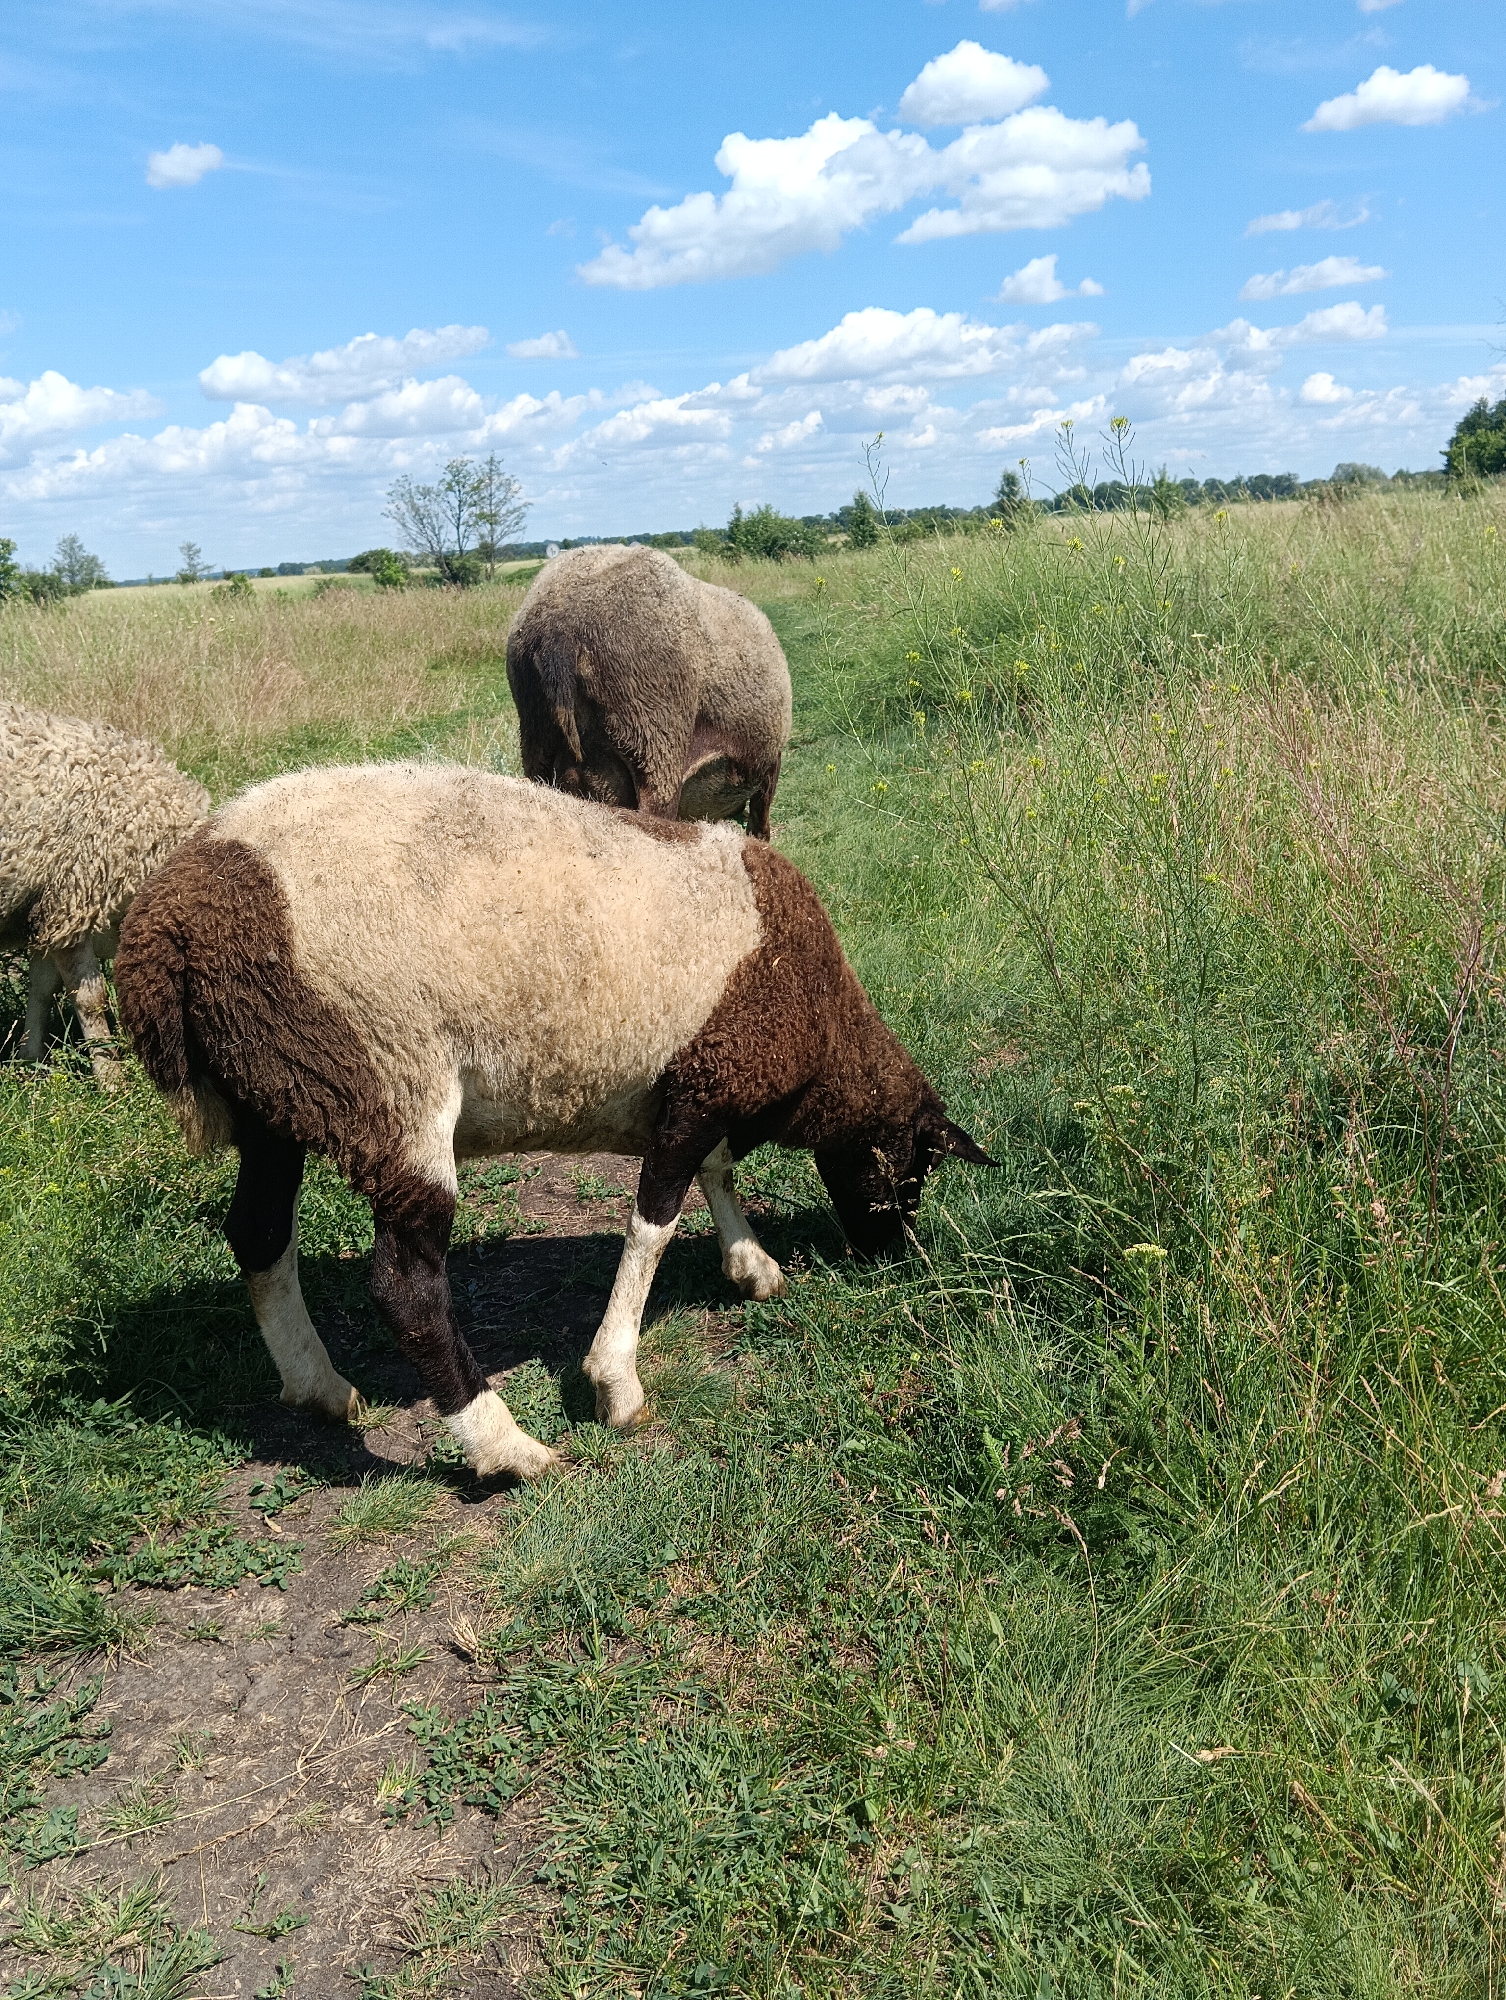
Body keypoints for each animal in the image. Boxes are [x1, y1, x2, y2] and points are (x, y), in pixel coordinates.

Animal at [1, 701, 209, 1087]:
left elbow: (41, 989)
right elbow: (90, 1000)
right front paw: (112, 1078)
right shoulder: (73, 900)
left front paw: (29, 1059)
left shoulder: (48, 908)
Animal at [114, 764, 991, 1479]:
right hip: (389, 1080)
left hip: (277, 1091)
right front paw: (616, 1383)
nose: (890, 1254)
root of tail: (166, 926)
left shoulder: (699, 1088)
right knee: (404, 1289)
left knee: (258, 1234)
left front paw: (751, 1264)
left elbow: (716, 1174)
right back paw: (503, 1446)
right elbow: (653, 1224)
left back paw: (319, 1386)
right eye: (913, 1169)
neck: (827, 1031)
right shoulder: (706, 1082)